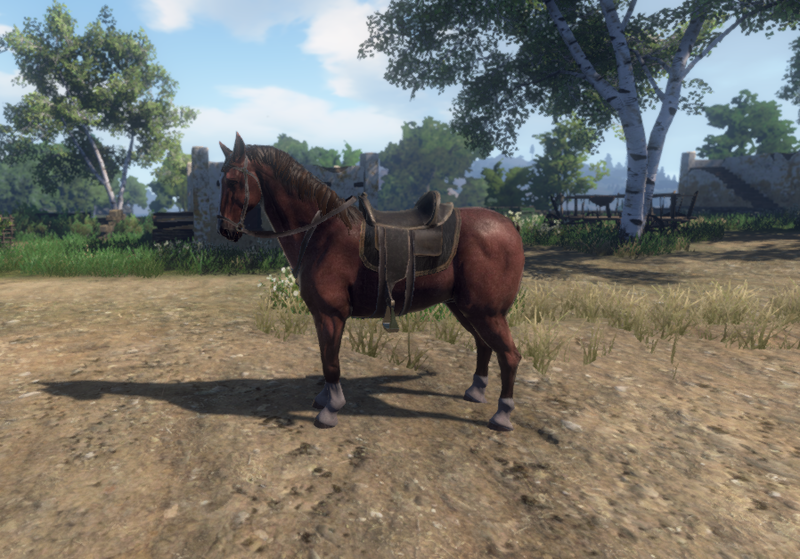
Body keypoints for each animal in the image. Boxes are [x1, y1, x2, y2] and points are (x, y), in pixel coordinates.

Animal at [216, 132, 525, 431]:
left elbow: (331, 363)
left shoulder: (332, 315)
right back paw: (476, 391)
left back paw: (502, 415)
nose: (225, 230)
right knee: (484, 345)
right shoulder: (320, 315)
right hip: (463, 308)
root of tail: (510, 225)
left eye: (232, 181)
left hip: (487, 312)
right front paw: (324, 399)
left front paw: (331, 409)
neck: (321, 232)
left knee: (509, 355)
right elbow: (325, 357)